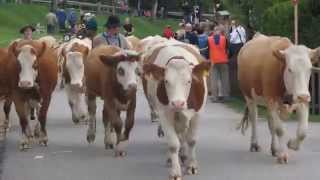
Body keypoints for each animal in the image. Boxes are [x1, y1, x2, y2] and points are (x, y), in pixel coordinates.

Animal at [142, 39, 210, 180]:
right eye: (166, 81)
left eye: (189, 81)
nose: (177, 103)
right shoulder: (164, 114)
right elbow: (173, 144)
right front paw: (175, 172)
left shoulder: (197, 114)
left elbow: (192, 140)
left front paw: (192, 166)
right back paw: (172, 158)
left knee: (183, 135)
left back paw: (184, 155)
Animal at [238, 34, 320, 164]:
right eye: (290, 69)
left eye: (310, 69)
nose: (303, 96)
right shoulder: (271, 100)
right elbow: (280, 129)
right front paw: (282, 155)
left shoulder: (301, 101)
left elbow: (302, 131)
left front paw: (291, 144)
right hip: (249, 97)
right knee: (254, 119)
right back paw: (255, 144)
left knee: (271, 124)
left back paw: (274, 148)